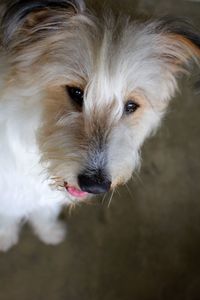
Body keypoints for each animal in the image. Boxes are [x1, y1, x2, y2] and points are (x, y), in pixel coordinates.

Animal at [0, 0, 199, 252]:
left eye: (131, 106)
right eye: (76, 93)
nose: (95, 186)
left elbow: (43, 213)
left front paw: (49, 232)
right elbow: (8, 216)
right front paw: (6, 237)